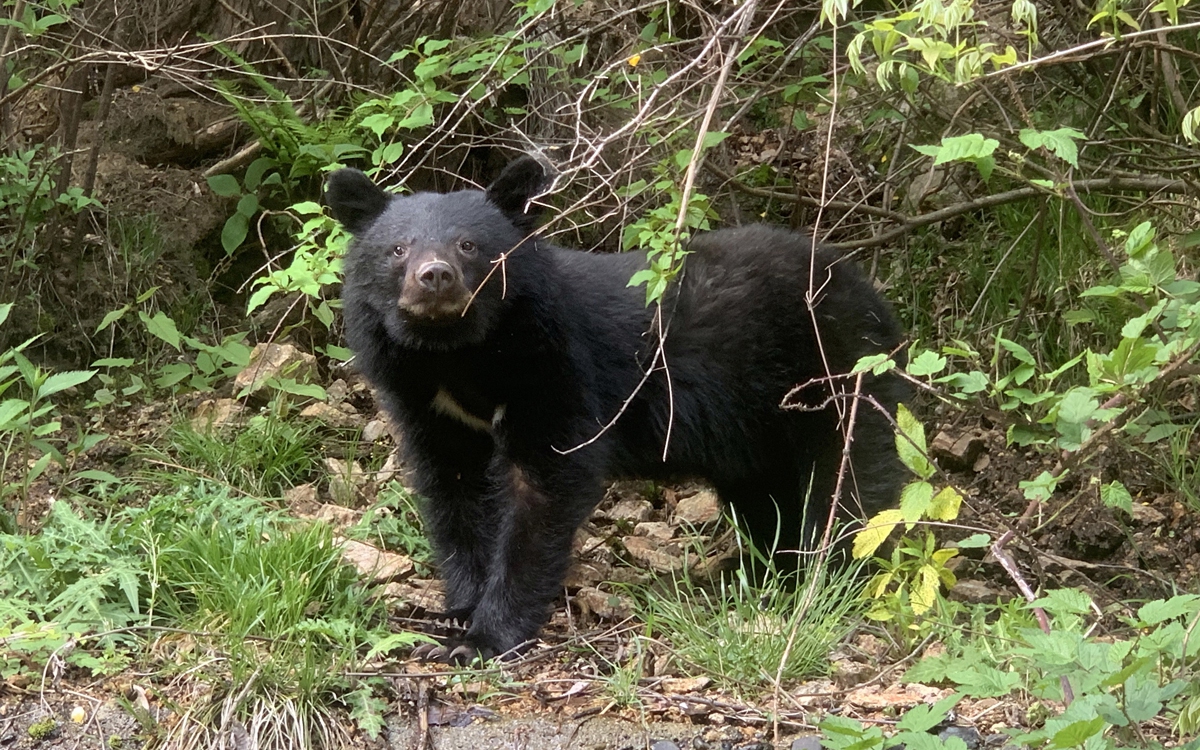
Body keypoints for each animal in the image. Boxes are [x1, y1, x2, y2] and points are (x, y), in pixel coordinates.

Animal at [326, 156, 907, 663]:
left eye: (469, 246)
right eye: (397, 249)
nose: (435, 277)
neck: (459, 355)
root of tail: (875, 298)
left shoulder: (554, 366)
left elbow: (545, 486)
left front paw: (484, 639)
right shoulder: (426, 402)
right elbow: (455, 490)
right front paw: (457, 611)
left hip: (836, 376)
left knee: (850, 487)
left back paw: (829, 582)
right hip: (756, 430)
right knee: (767, 497)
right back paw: (765, 574)